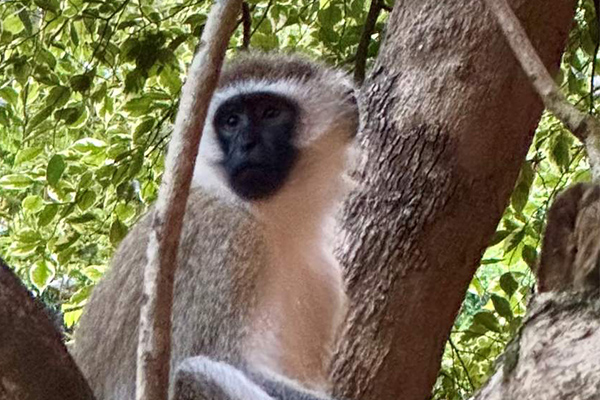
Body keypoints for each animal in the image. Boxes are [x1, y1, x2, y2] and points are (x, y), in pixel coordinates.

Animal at [72, 53, 358, 400]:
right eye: (231, 121)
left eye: (270, 113)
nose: (246, 144)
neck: (274, 219)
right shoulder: (223, 241)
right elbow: (198, 360)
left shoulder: (325, 278)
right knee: (192, 372)